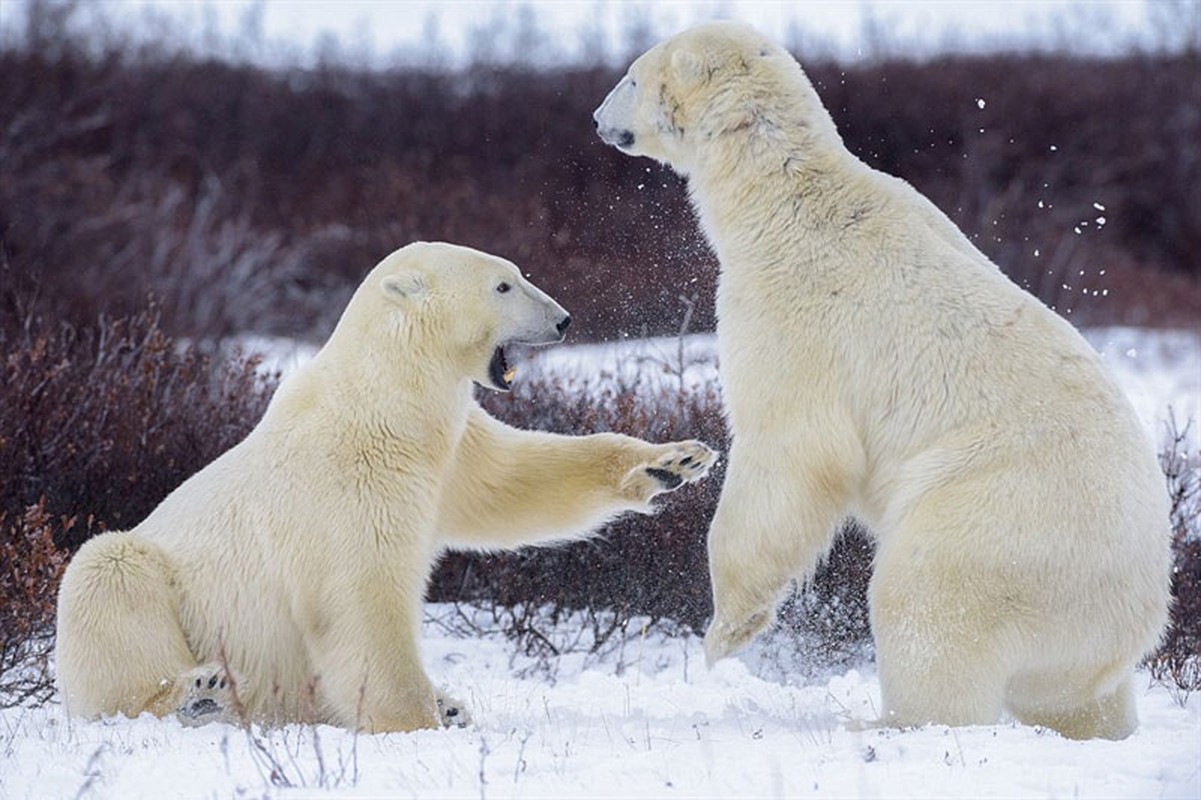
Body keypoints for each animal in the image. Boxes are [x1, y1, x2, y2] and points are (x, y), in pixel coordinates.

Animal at [54, 241, 710, 730]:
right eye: (503, 285)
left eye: (521, 273)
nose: (564, 319)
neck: (383, 403)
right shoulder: (347, 479)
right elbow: (361, 600)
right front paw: (416, 722)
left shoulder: (448, 448)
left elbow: (512, 482)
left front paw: (675, 461)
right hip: (153, 589)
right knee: (108, 577)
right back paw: (199, 690)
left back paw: (449, 702)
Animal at [595, 21, 1167, 739]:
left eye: (631, 77)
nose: (597, 119)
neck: (784, 201)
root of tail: (1144, 607)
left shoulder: (794, 314)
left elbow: (790, 449)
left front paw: (725, 634)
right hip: (1077, 628)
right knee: (1077, 698)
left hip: (1000, 517)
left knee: (924, 603)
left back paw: (877, 722)